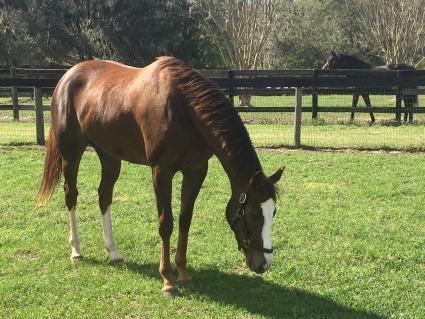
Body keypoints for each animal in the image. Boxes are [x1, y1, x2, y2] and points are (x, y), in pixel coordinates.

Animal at [36, 57, 282, 298]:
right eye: (254, 214)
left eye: (273, 212)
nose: (264, 263)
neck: (185, 109)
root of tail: (67, 77)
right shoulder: (161, 171)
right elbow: (166, 223)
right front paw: (168, 281)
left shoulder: (196, 171)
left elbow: (185, 220)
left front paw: (183, 272)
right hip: (71, 154)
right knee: (71, 196)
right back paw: (76, 251)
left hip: (109, 156)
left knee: (104, 197)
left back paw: (113, 251)